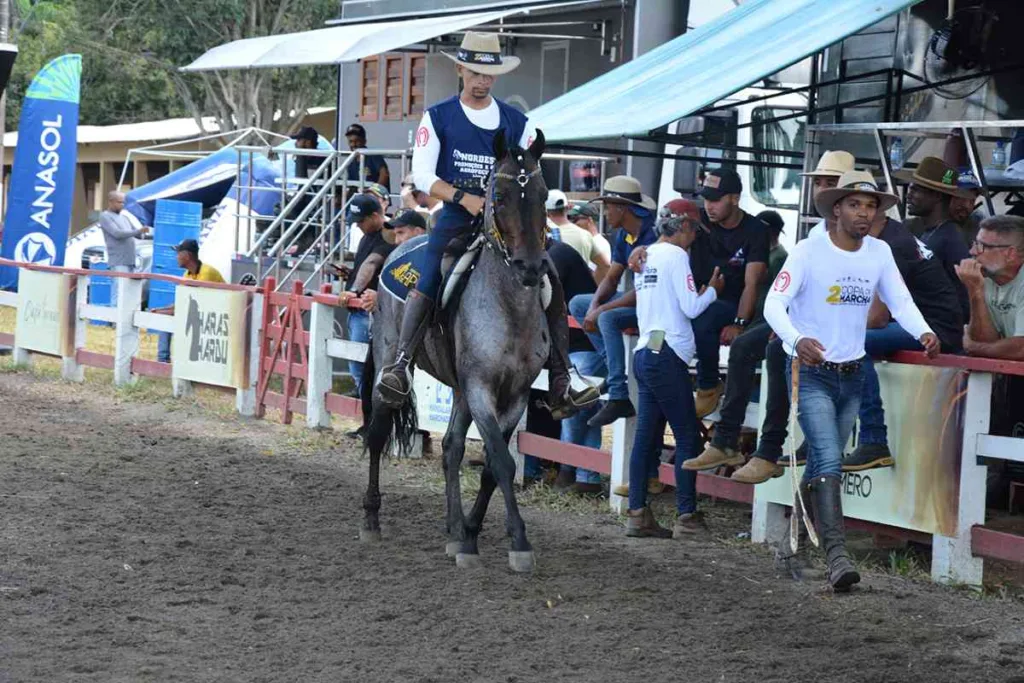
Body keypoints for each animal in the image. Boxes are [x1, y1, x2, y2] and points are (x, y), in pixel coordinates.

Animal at [360, 126, 552, 573]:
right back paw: (372, 519)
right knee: (378, 434)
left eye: (543, 194)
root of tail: (395, 251)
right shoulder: (481, 388)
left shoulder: (514, 395)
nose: (531, 267)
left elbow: (491, 467)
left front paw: (471, 535)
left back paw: (454, 530)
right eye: (500, 198)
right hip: (390, 365)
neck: (508, 309)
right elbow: (500, 459)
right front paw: (518, 542)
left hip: (461, 390)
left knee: (450, 448)